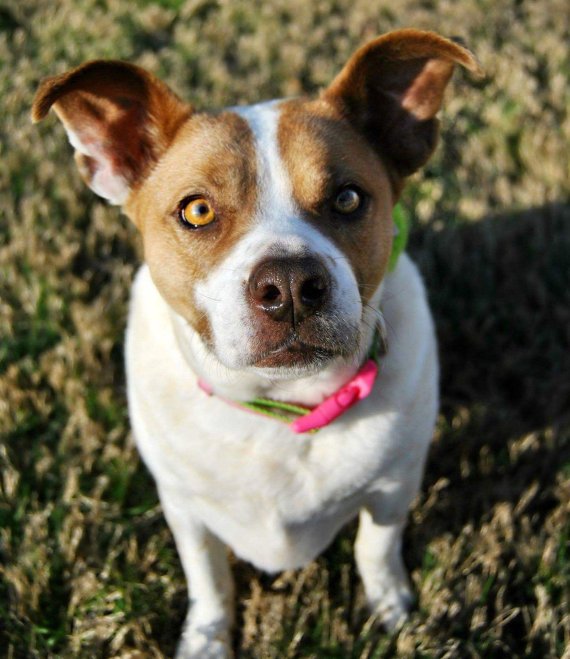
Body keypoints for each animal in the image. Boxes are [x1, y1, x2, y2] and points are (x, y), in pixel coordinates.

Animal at [32, 31, 480, 659]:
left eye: (347, 198)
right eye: (197, 210)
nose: (289, 285)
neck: (282, 404)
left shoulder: (394, 488)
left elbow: (375, 547)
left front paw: (392, 607)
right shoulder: (185, 510)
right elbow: (209, 579)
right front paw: (206, 638)